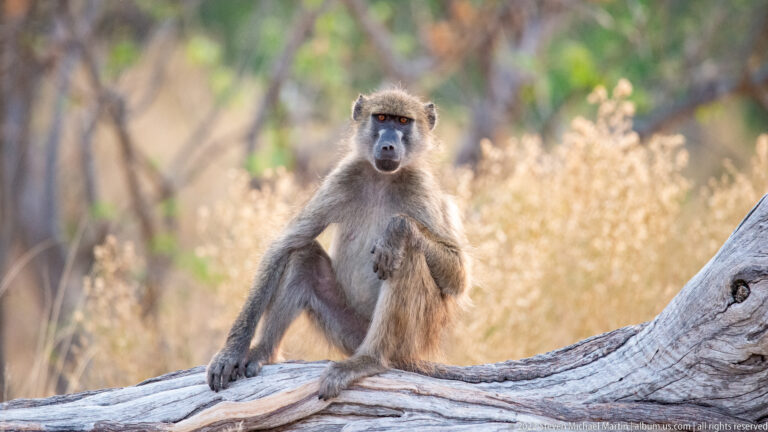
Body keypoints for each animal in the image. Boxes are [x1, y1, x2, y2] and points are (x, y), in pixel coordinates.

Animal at [206, 88, 471, 399]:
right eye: (382, 118)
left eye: (404, 121)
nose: (388, 146)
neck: (382, 178)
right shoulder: (343, 177)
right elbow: (285, 245)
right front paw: (231, 352)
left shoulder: (422, 189)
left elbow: (457, 275)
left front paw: (396, 230)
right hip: (348, 330)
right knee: (303, 257)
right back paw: (263, 353)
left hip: (413, 338)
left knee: (406, 257)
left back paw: (368, 360)